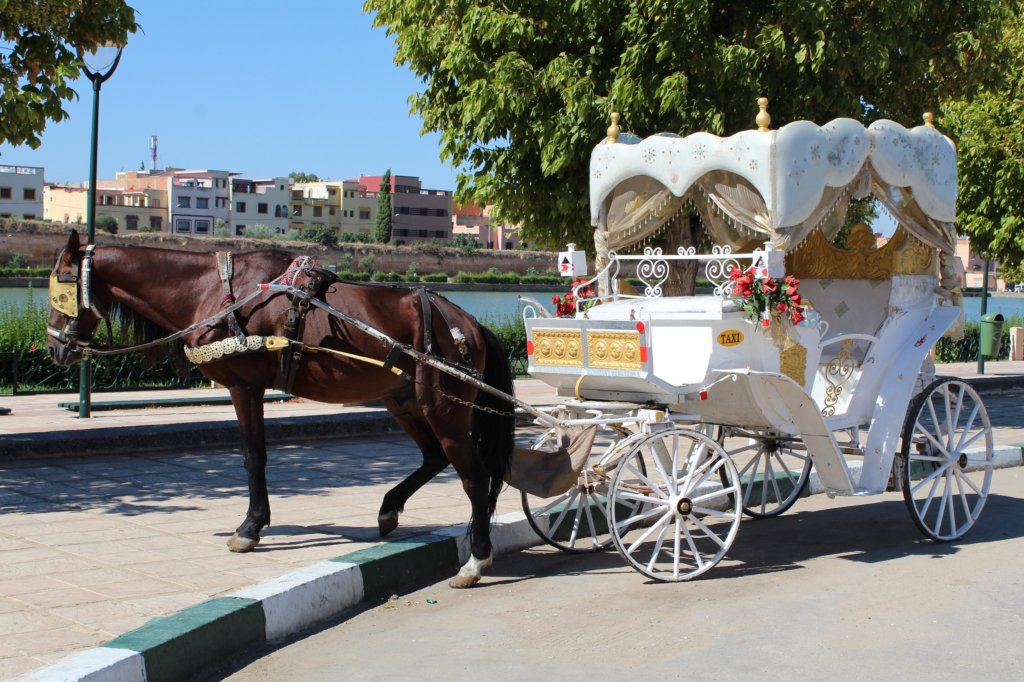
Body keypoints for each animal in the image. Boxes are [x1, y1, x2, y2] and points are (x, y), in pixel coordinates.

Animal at [46, 228, 512, 585]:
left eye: (62, 287)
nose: (55, 347)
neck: (216, 292)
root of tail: (469, 323)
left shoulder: (245, 387)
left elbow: (254, 456)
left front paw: (250, 527)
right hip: (404, 401)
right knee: (435, 457)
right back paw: (389, 508)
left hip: (444, 408)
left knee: (475, 477)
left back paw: (475, 559)